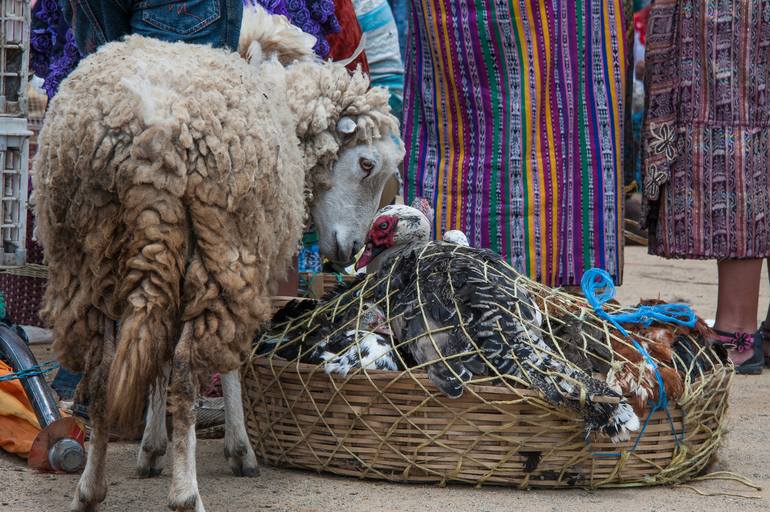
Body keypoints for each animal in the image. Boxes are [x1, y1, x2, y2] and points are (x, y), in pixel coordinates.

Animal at [31, 6, 402, 510]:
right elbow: (228, 365)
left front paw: (152, 446)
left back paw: (90, 488)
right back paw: (187, 493)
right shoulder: (241, 258)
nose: (352, 251)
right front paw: (238, 448)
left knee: (106, 370)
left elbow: (155, 361)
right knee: (187, 372)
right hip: (214, 240)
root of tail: (147, 137)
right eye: (366, 164)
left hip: (90, 253)